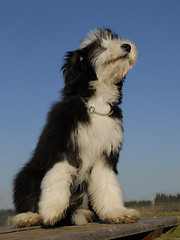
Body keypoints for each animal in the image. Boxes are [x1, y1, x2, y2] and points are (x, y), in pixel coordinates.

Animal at [12, 28, 140, 227]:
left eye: (115, 38)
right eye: (99, 46)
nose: (126, 46)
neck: (96, 104)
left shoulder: (105, 154)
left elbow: (107, 184)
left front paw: (116, 212)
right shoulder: (62, 145)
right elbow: (57, 176)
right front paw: (52, 210)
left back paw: (82, 212)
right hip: (27, 174)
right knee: (28, 197)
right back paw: (29, 216)